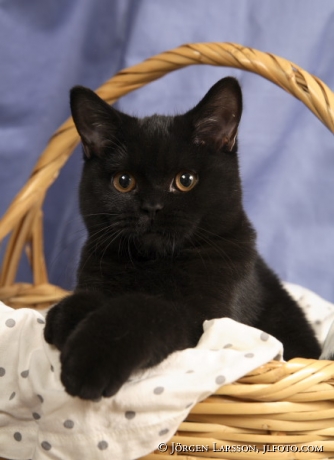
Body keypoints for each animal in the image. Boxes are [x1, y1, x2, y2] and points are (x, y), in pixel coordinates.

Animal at [44, 76, 320, 398]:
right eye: (123, 181)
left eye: (185, 180)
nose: (151, 207)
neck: (153, 263)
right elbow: (91, 296)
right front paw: (65, 315)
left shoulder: (211, 322)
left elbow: (146, 308)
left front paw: (90, 356)